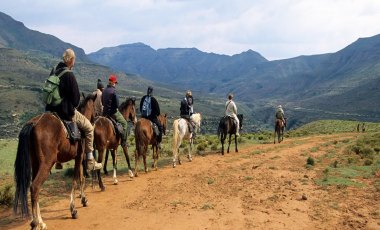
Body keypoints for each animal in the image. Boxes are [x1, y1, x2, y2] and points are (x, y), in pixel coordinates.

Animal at [13, 94, 96, 230]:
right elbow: (76, 179)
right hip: (47, 163)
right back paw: (36, 223)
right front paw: (73, 209)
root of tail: (33, 123)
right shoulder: (79, 157)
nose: (99, 115)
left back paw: (40, 222)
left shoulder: (78, 158)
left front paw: (84, 200)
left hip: (36, 163)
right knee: (35, 187)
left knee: (34, 188)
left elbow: (81, 178)